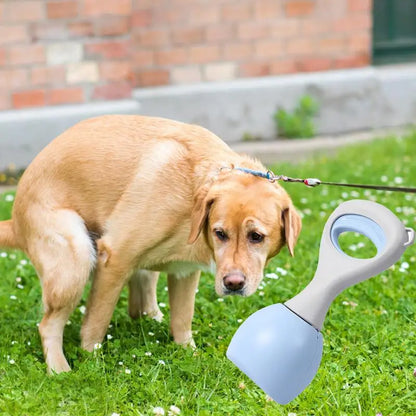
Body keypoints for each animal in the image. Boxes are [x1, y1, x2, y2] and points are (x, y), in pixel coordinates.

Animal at [0, 114, 300, 374]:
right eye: (220, 233)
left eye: (256, 236)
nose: (233, 284)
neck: (193, 195)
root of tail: (15, 220)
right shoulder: (115, 257)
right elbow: (96, 323)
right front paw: (91, 361)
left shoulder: (184, 272)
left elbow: (182, 319)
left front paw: (188, 354)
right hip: (75, 258)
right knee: (48, 325)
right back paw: (59, 369)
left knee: (139, 304)